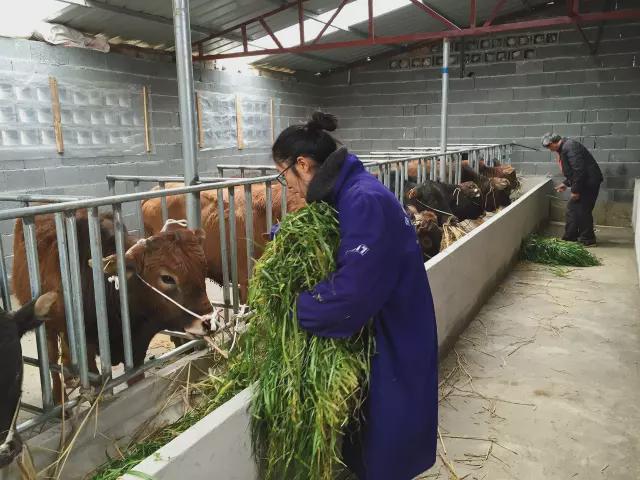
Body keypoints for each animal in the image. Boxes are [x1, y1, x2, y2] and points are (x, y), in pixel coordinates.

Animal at [12, 212, 212, 400]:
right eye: (167, 278)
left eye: (203, 266)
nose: (208, 322)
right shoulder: (87, 353)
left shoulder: (135, 354)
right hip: (46, 325)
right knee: (51, 359)